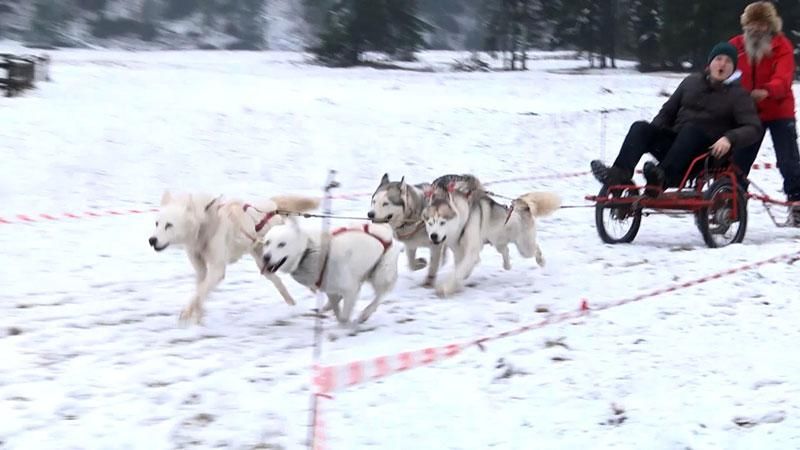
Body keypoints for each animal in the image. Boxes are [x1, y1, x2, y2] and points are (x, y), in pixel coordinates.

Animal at [148, 190, 318, 324]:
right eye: (157, 224)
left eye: (169, 225)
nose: (152, 240)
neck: (205, 226)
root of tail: (273, 205)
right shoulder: (201, 270)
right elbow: (200, 292)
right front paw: (198, 318)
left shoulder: (217, 270)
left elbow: (199, 293)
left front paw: (187, 313)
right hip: (265, 264)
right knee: (278, 282)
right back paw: (292, 302)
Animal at [260, 219, 400, 326]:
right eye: (267, 242)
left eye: (281, 244)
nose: (265, 257)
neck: (308, 251)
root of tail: (384, 230)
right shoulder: (331, 289)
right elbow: (337, 309)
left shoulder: (350, 289)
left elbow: (344, 316)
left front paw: (344, 327)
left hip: (381, 274)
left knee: (380, 295)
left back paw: (365, 313)